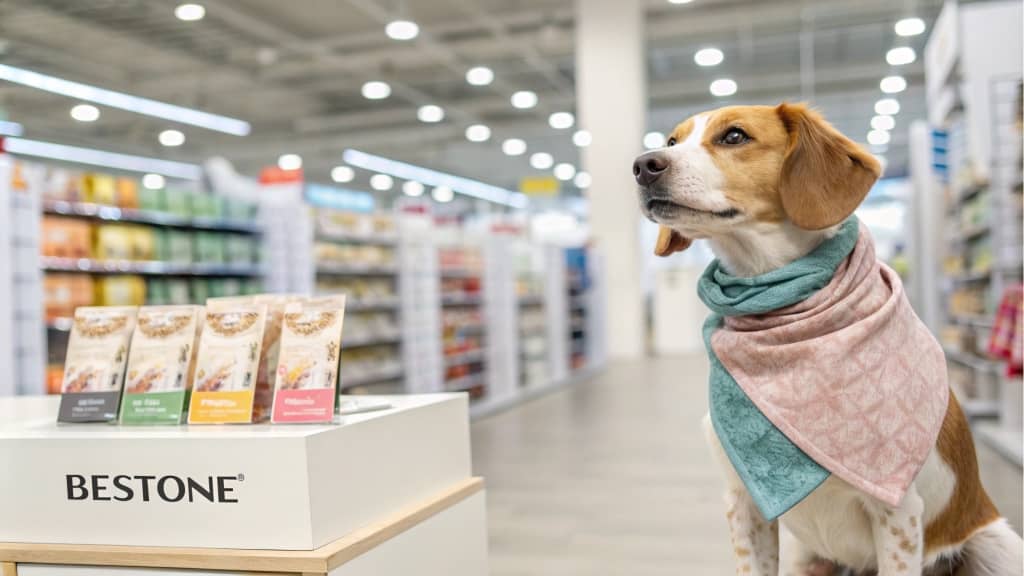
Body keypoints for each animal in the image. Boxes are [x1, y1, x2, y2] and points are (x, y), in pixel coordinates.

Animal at [634, 104, 1019, 573]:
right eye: (672, 141)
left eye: (734, 136)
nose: (643, 165)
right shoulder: (742, 503)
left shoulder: (898, 514)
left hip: (997, 545)